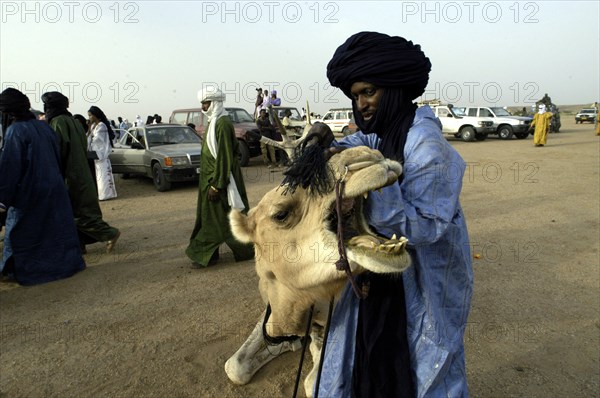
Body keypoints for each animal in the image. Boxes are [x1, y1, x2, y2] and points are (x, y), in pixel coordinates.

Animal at [225, 145, 412, 394]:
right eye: (280, 214)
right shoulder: (270, 309)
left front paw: (303, 347)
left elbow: (312, 381)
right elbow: (234, 367)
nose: (368, 156)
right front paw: (287, 344)